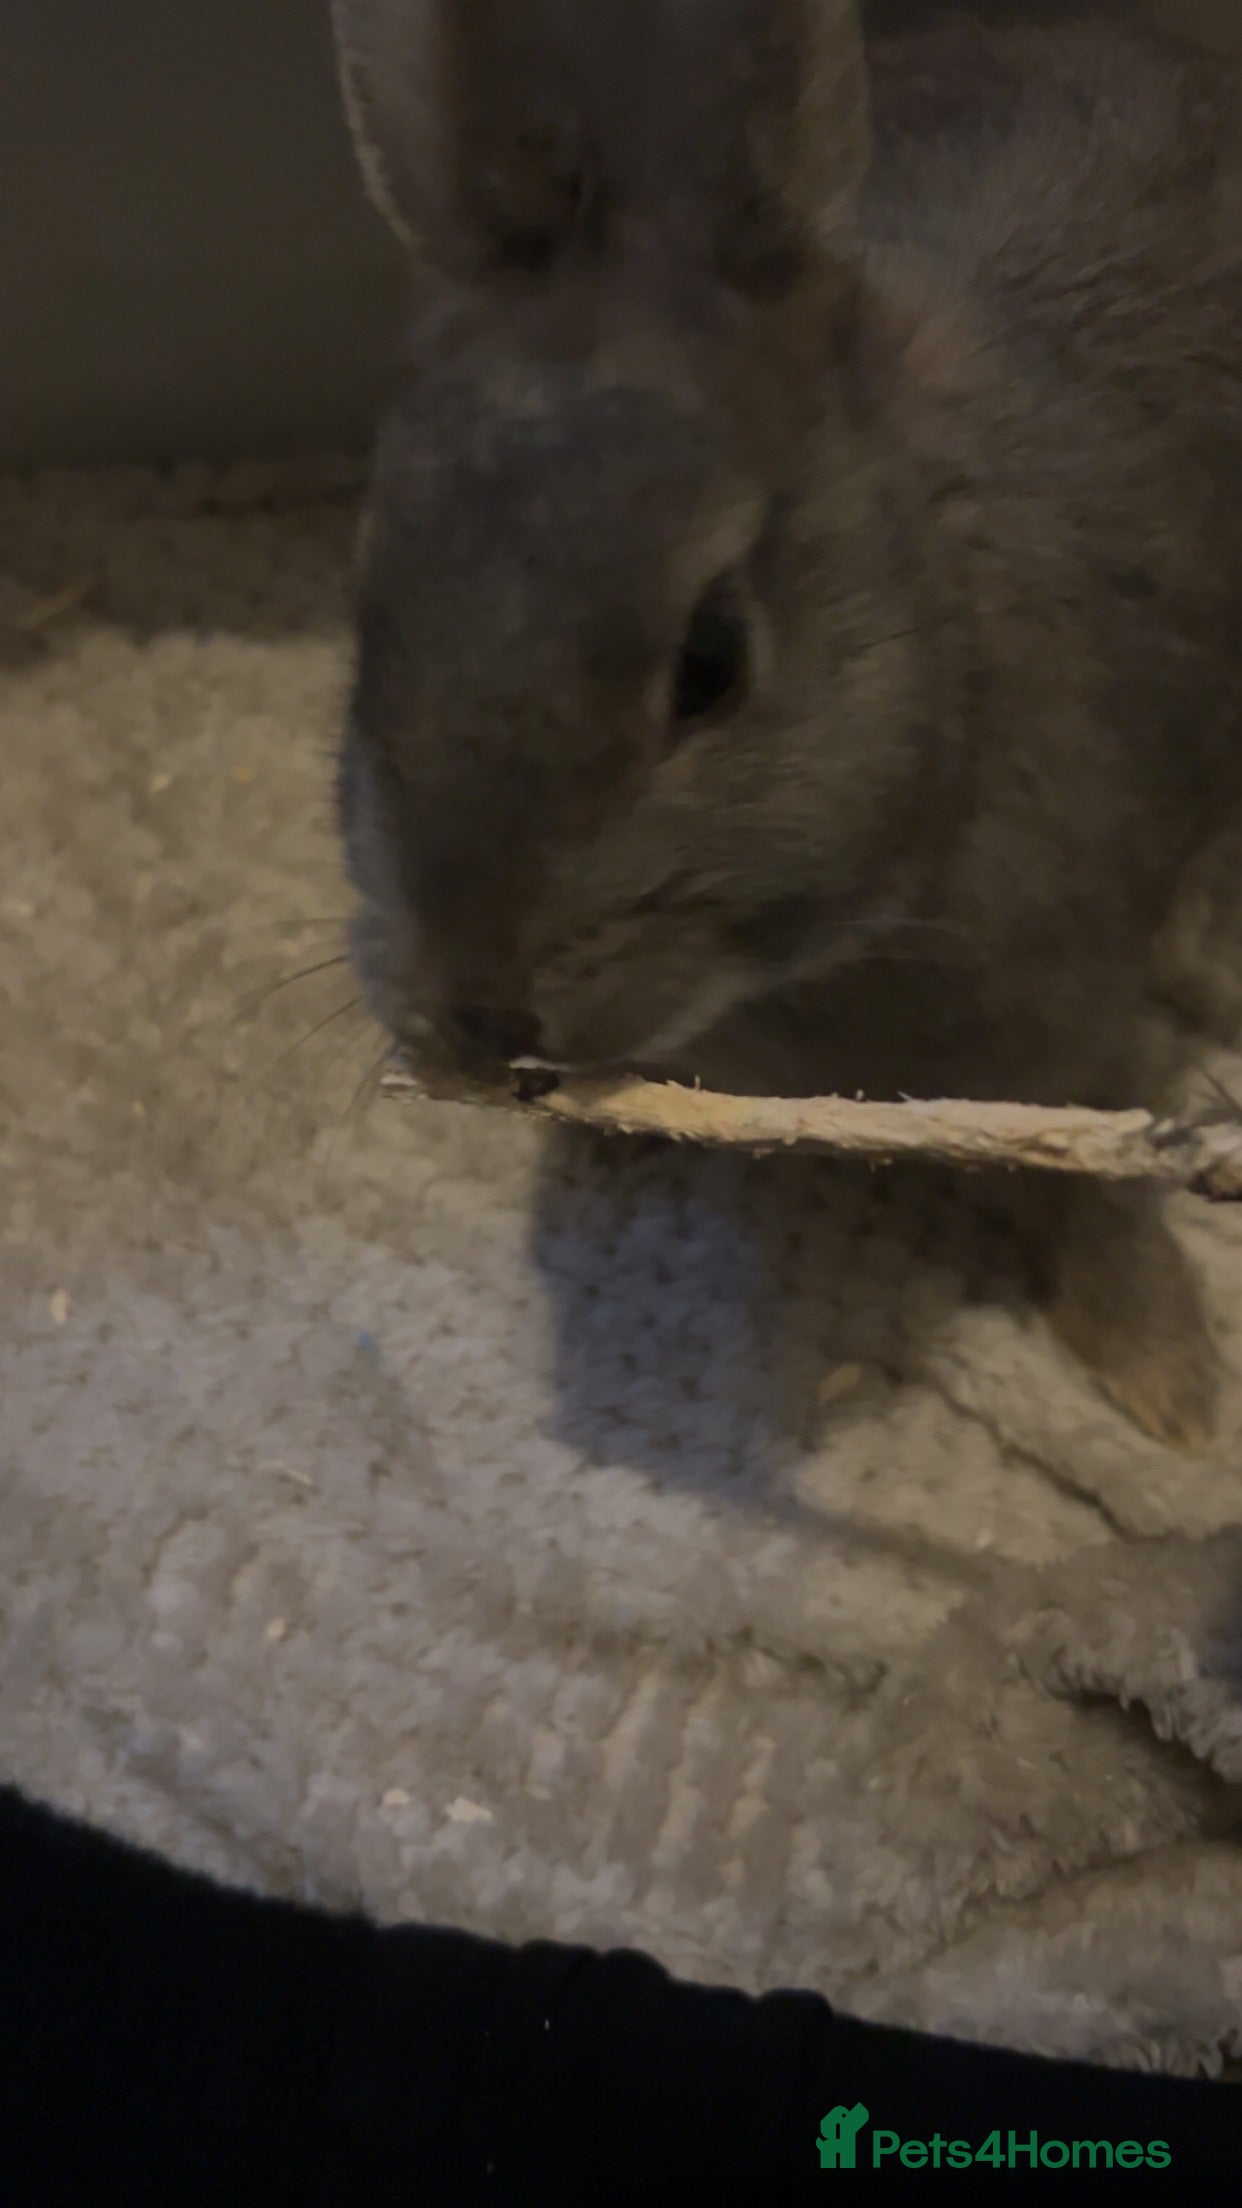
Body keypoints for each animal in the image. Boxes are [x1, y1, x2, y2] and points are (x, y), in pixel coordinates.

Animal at [332, 0, 1242, 1455]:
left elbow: (1097, 1198)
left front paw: (1166, 1392)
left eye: (711, 660)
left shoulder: (1075, 1043)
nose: (469, 1016)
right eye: (373, 610)